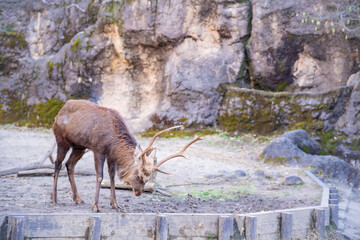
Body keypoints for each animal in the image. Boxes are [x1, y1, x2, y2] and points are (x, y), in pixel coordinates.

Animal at [50, 99, 201, 212]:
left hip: (79, 146)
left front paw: (115, 204)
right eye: (139, 175)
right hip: (61, 139)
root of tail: (60, 111)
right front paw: (96, 206)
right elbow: (100, 176)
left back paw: (77, 198)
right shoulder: (98, 149)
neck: (113, 140)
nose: (138, 193)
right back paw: (53, 198)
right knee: (58, 163)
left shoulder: (111, 154)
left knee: (69, 164)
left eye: (148, 179)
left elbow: (111, 176)